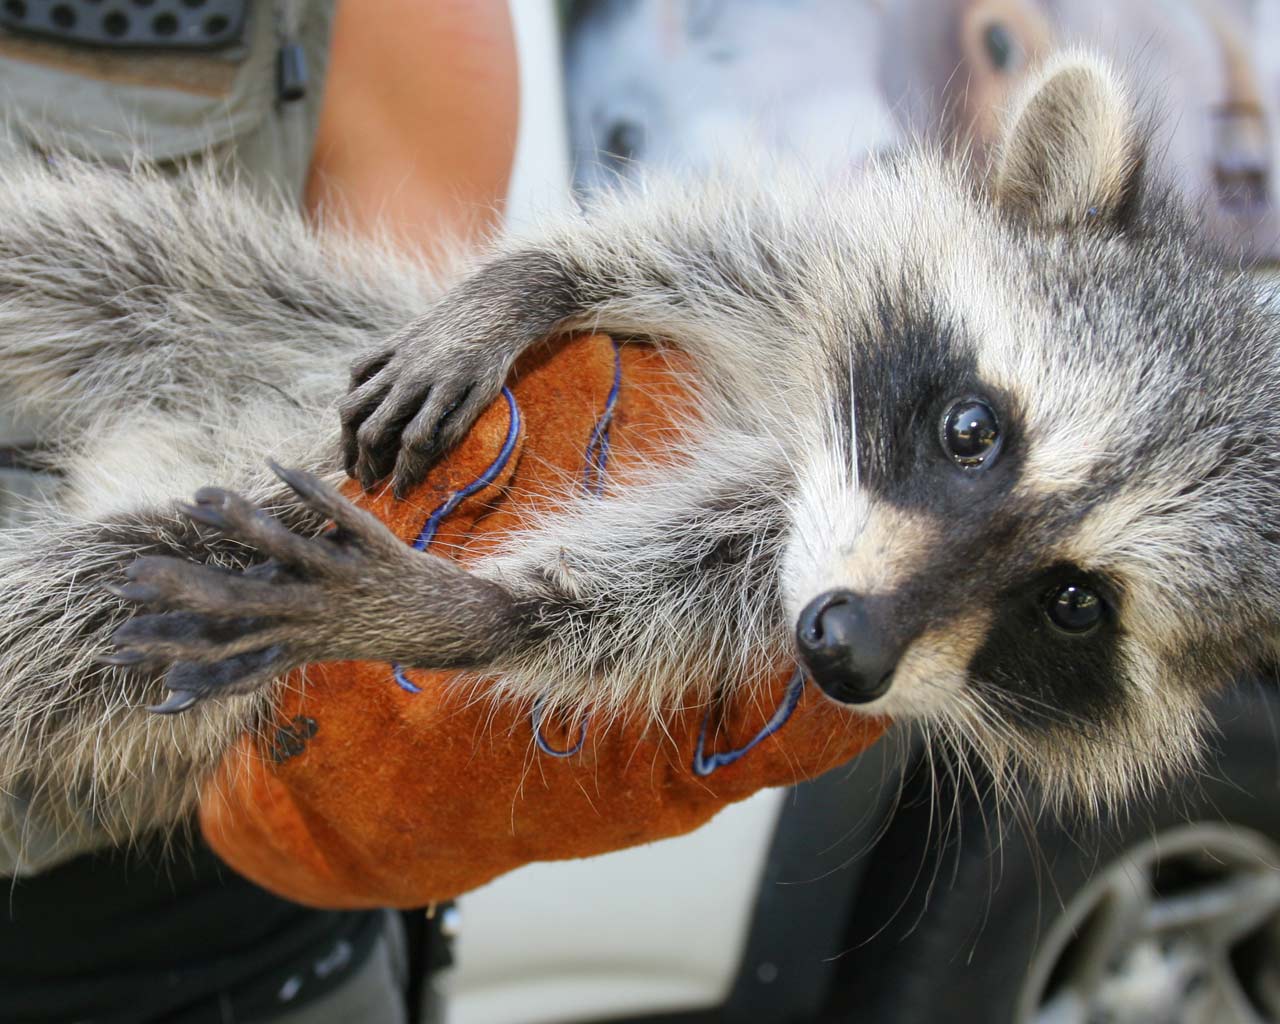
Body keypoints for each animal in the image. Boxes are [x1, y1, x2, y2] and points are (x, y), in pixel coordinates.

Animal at [0, 53, 1275, 869]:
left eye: (1073, 605)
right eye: (971, 431)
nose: (845, 647)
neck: (804, 436)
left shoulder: (775, 568)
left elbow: (652, 608)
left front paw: (473, 610)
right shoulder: (806, 275)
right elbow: (686, 243)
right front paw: (532, 285)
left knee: (89, 591)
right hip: (263, 312)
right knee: (77, 255)